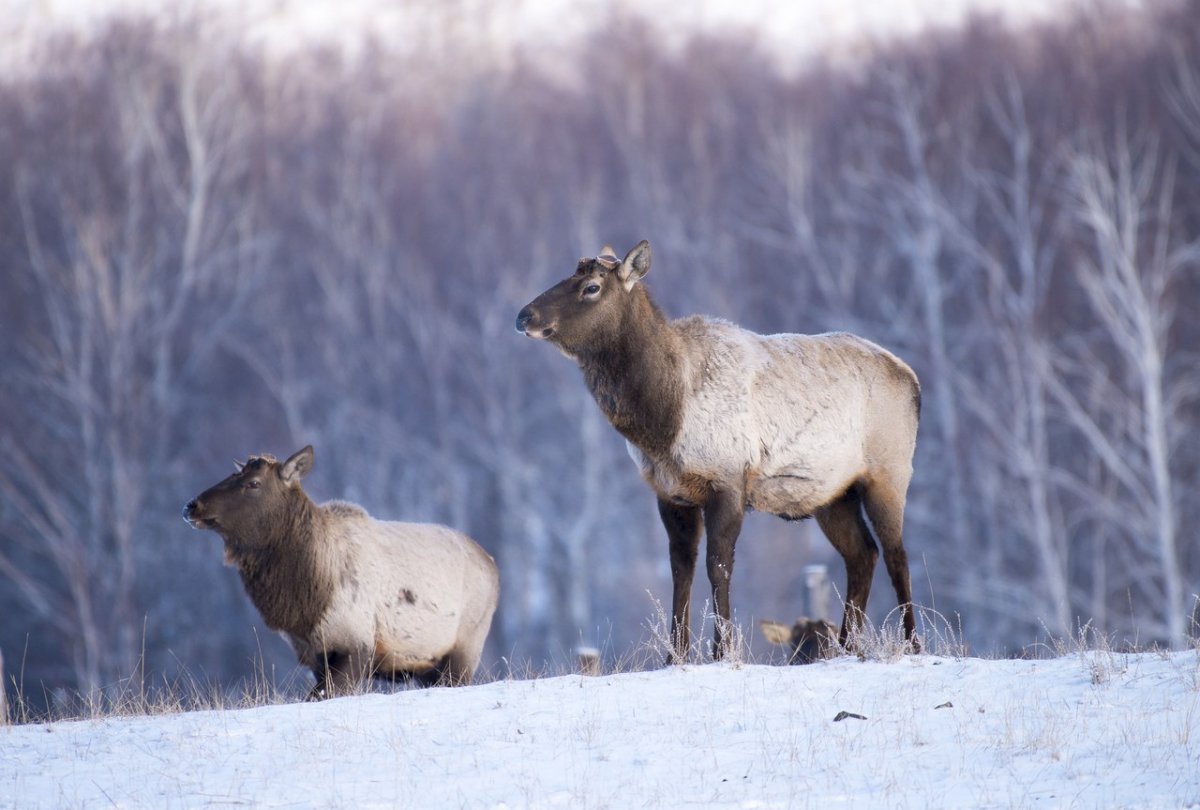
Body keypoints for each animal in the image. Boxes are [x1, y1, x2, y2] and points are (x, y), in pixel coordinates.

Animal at [181, 444, 496, 696]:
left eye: (253, 483)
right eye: (233, 474)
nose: (191, 505)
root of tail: (492, 563)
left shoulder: (358, 644)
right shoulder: (317, 654)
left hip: (464, 649)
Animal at [516, 241, 916, 667]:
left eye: (591, 287)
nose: (524, 316)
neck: (663, 421)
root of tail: (911, 377)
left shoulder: (728, 481)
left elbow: (718, 566)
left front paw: (722, 650)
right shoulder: (670, 493)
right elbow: (681, 568)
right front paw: (674, 655)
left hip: (889, 473)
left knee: (896, 554)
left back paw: (911, 643)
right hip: (832, 495)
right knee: (862, 554)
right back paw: (847, 647)